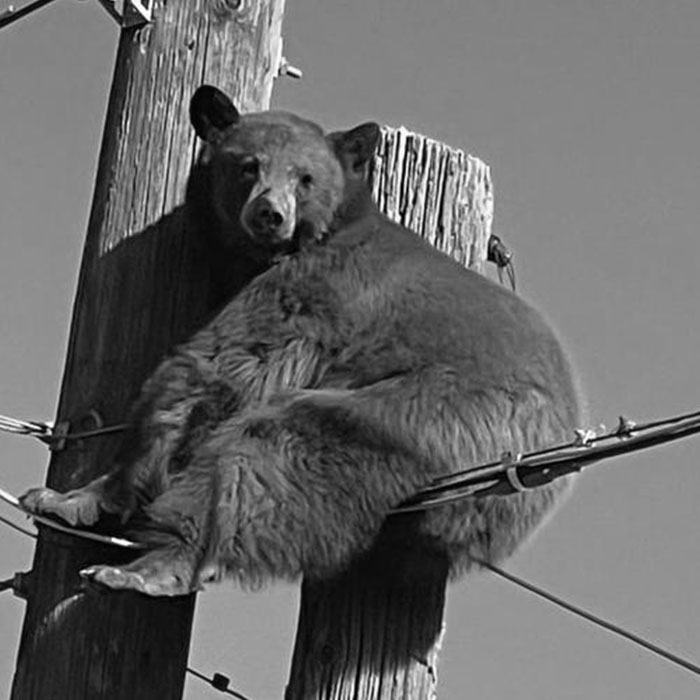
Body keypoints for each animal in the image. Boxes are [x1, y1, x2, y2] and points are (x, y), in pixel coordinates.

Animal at [20, 85, 583, 597]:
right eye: (249, 166)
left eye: (304, 177)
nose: (270, 214)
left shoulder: (313, 294)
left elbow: (220, 367)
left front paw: (70, 498)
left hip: (443, 414)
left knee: (275, 450)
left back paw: (154, 566)